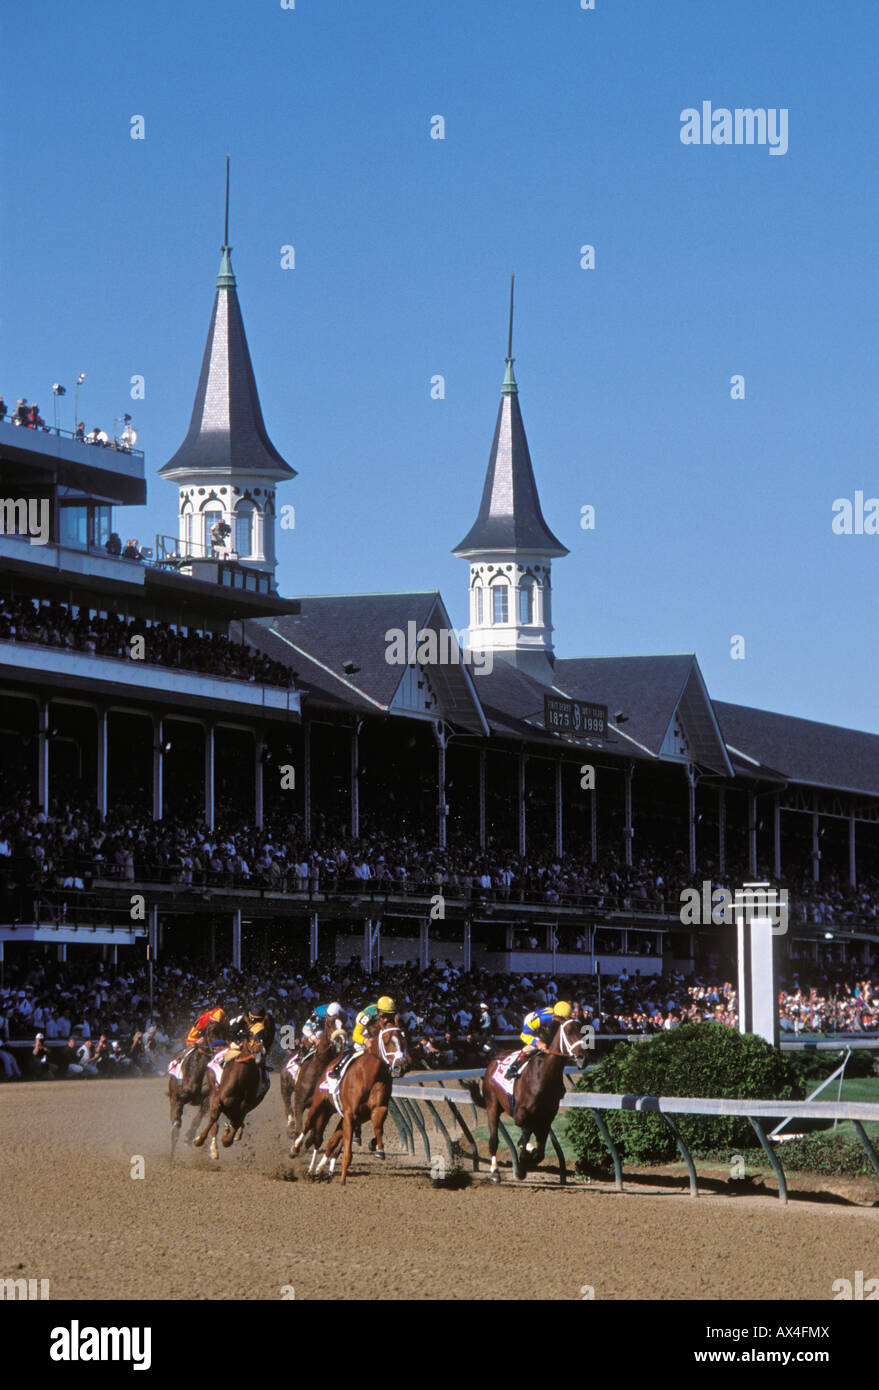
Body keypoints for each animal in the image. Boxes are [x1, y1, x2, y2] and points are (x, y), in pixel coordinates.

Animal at [292, 1023, 408, 1184]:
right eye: (386, 1042)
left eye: (404, 1041)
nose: (401, 1067)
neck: (371, 1075)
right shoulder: (350, 1114)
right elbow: (346, 1152)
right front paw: (342, 1182)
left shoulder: (377, 1109)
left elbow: (378, 1127)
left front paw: (378, 1148)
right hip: (319, 1104)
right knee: (309, 1125)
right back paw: (296, 1149)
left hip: (335, 1114)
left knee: (329, 1141)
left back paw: (317, 1169)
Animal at [478, 1017, 586, 1178]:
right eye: (568, 1032)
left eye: (583, 1031)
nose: (583, 1058)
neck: (543, 1075)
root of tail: (496, 1057)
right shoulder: (521, 1112)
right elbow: (525, 1129)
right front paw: (522, 1163)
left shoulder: (547, 1117)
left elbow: (540, 1152)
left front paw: (528, 1156)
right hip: (492, 1104)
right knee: (494, 1140)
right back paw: (495, 1170)